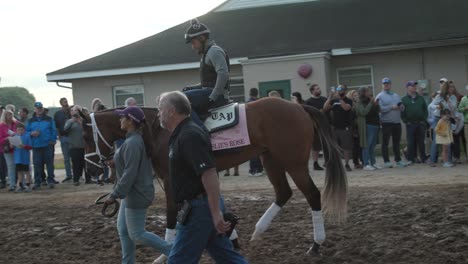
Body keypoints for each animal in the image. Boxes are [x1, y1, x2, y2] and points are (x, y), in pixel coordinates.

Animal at [78, 96, 346, 256]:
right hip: (270, 159)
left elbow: (172, 214)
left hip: (293, 162)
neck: (158, 129)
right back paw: (258, 231)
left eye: (87, 136)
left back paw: (316, 244)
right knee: (284, 192)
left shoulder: (172, 180)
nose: (90, 169)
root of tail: (298, 106)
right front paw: (231, 237)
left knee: (312, 194)